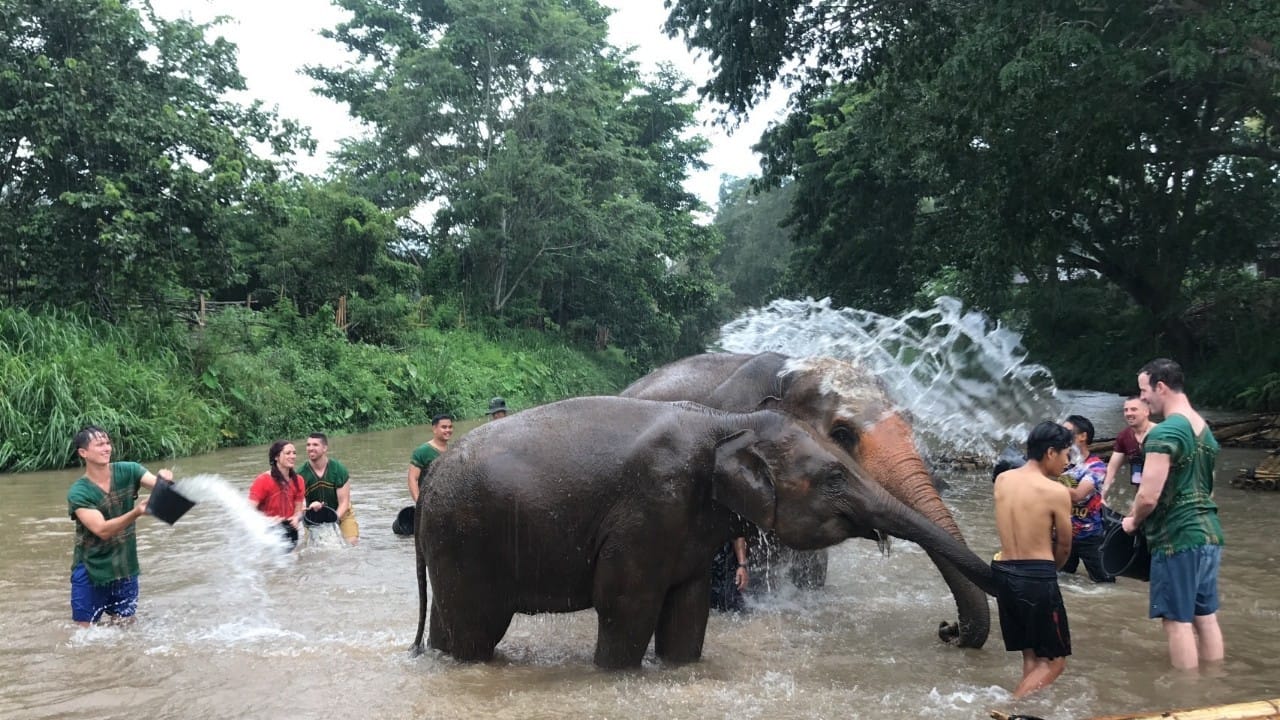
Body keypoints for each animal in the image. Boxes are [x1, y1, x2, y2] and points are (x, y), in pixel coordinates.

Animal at [412, 392, 998, 666]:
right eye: (834, 476)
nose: (946, 628)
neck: (727, 421)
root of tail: (434, 473)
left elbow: (687, 609)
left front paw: (677, 667)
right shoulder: (650, 505)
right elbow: (626, 603)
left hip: (452, 543)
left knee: (450, 626)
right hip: (466, 538)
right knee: (477, 629)